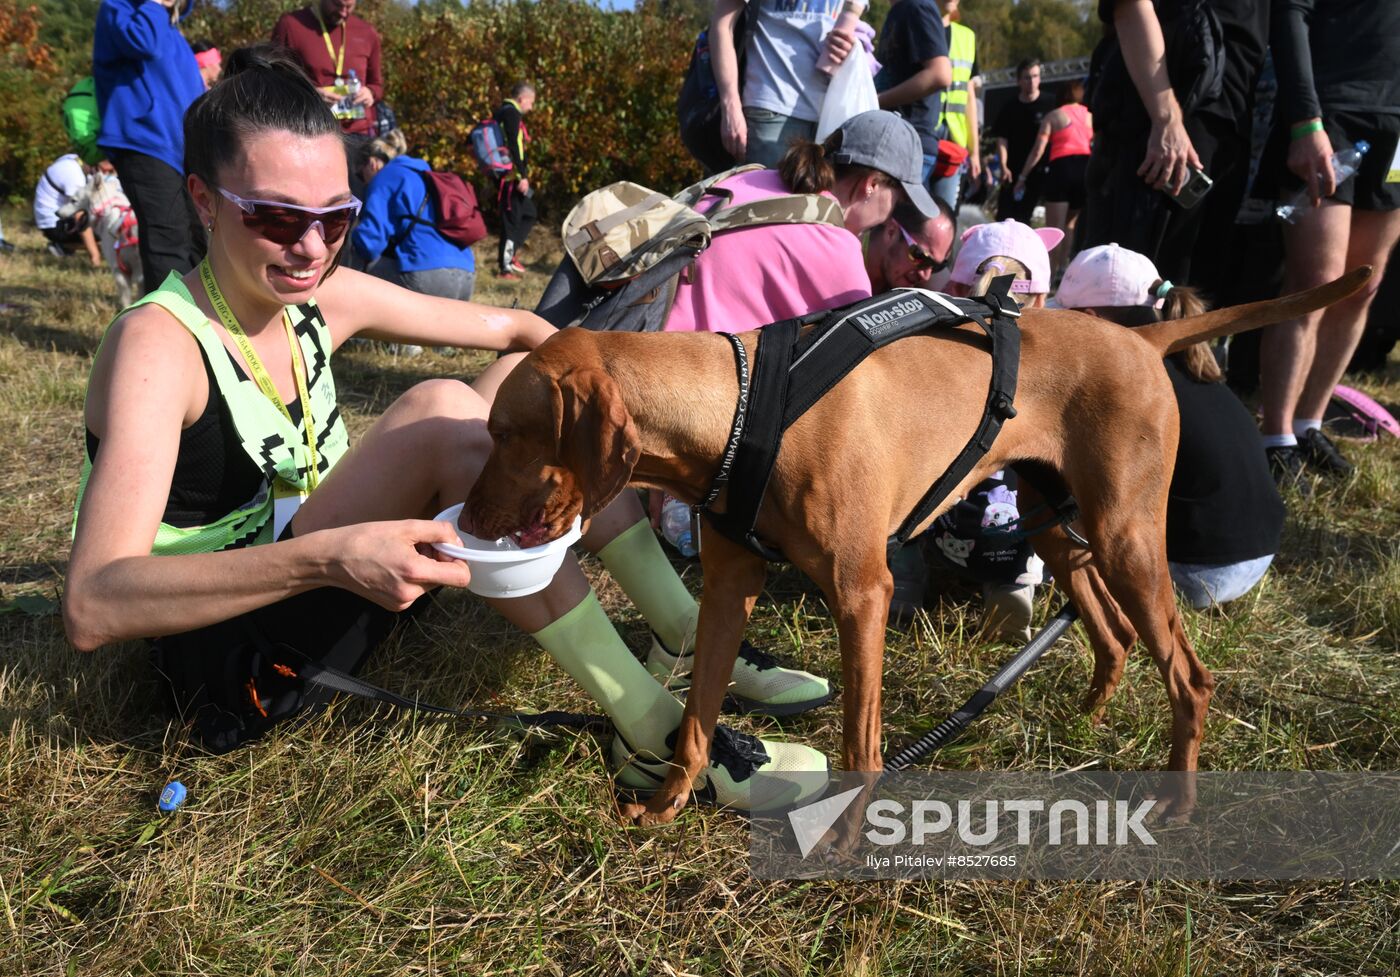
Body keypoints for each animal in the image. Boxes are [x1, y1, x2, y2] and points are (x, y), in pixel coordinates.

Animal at [467, 268, 1366, 823]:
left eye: (506, 433)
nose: (467, 522)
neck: (742, 406)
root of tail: (1142, 340)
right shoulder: (727, 590)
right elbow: (694, 720)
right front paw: (665, 805)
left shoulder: (864, 595)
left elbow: (861, 742)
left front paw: (845, 836)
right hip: (1056, 524)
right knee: (1109, 633)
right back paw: (1086, 719)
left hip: (1125, 537)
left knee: (1190, 673)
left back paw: (1177, 798)